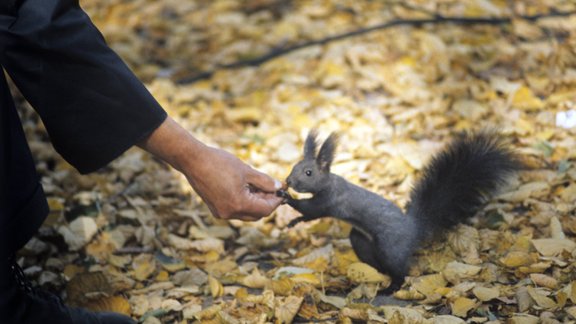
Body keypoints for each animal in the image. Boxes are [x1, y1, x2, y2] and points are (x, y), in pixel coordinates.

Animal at [280, 130, 520, 294]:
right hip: (362, 240)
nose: (288, 181)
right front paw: (293, 219)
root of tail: (414, 229)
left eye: (308, 172)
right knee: (378, 262)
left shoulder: (329, 200)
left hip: (390, 245)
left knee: (400, 271)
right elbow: (308, 215)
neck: (330, 183)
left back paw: (390, 288)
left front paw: (286, 197)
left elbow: (311, 210)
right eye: (294, 167)